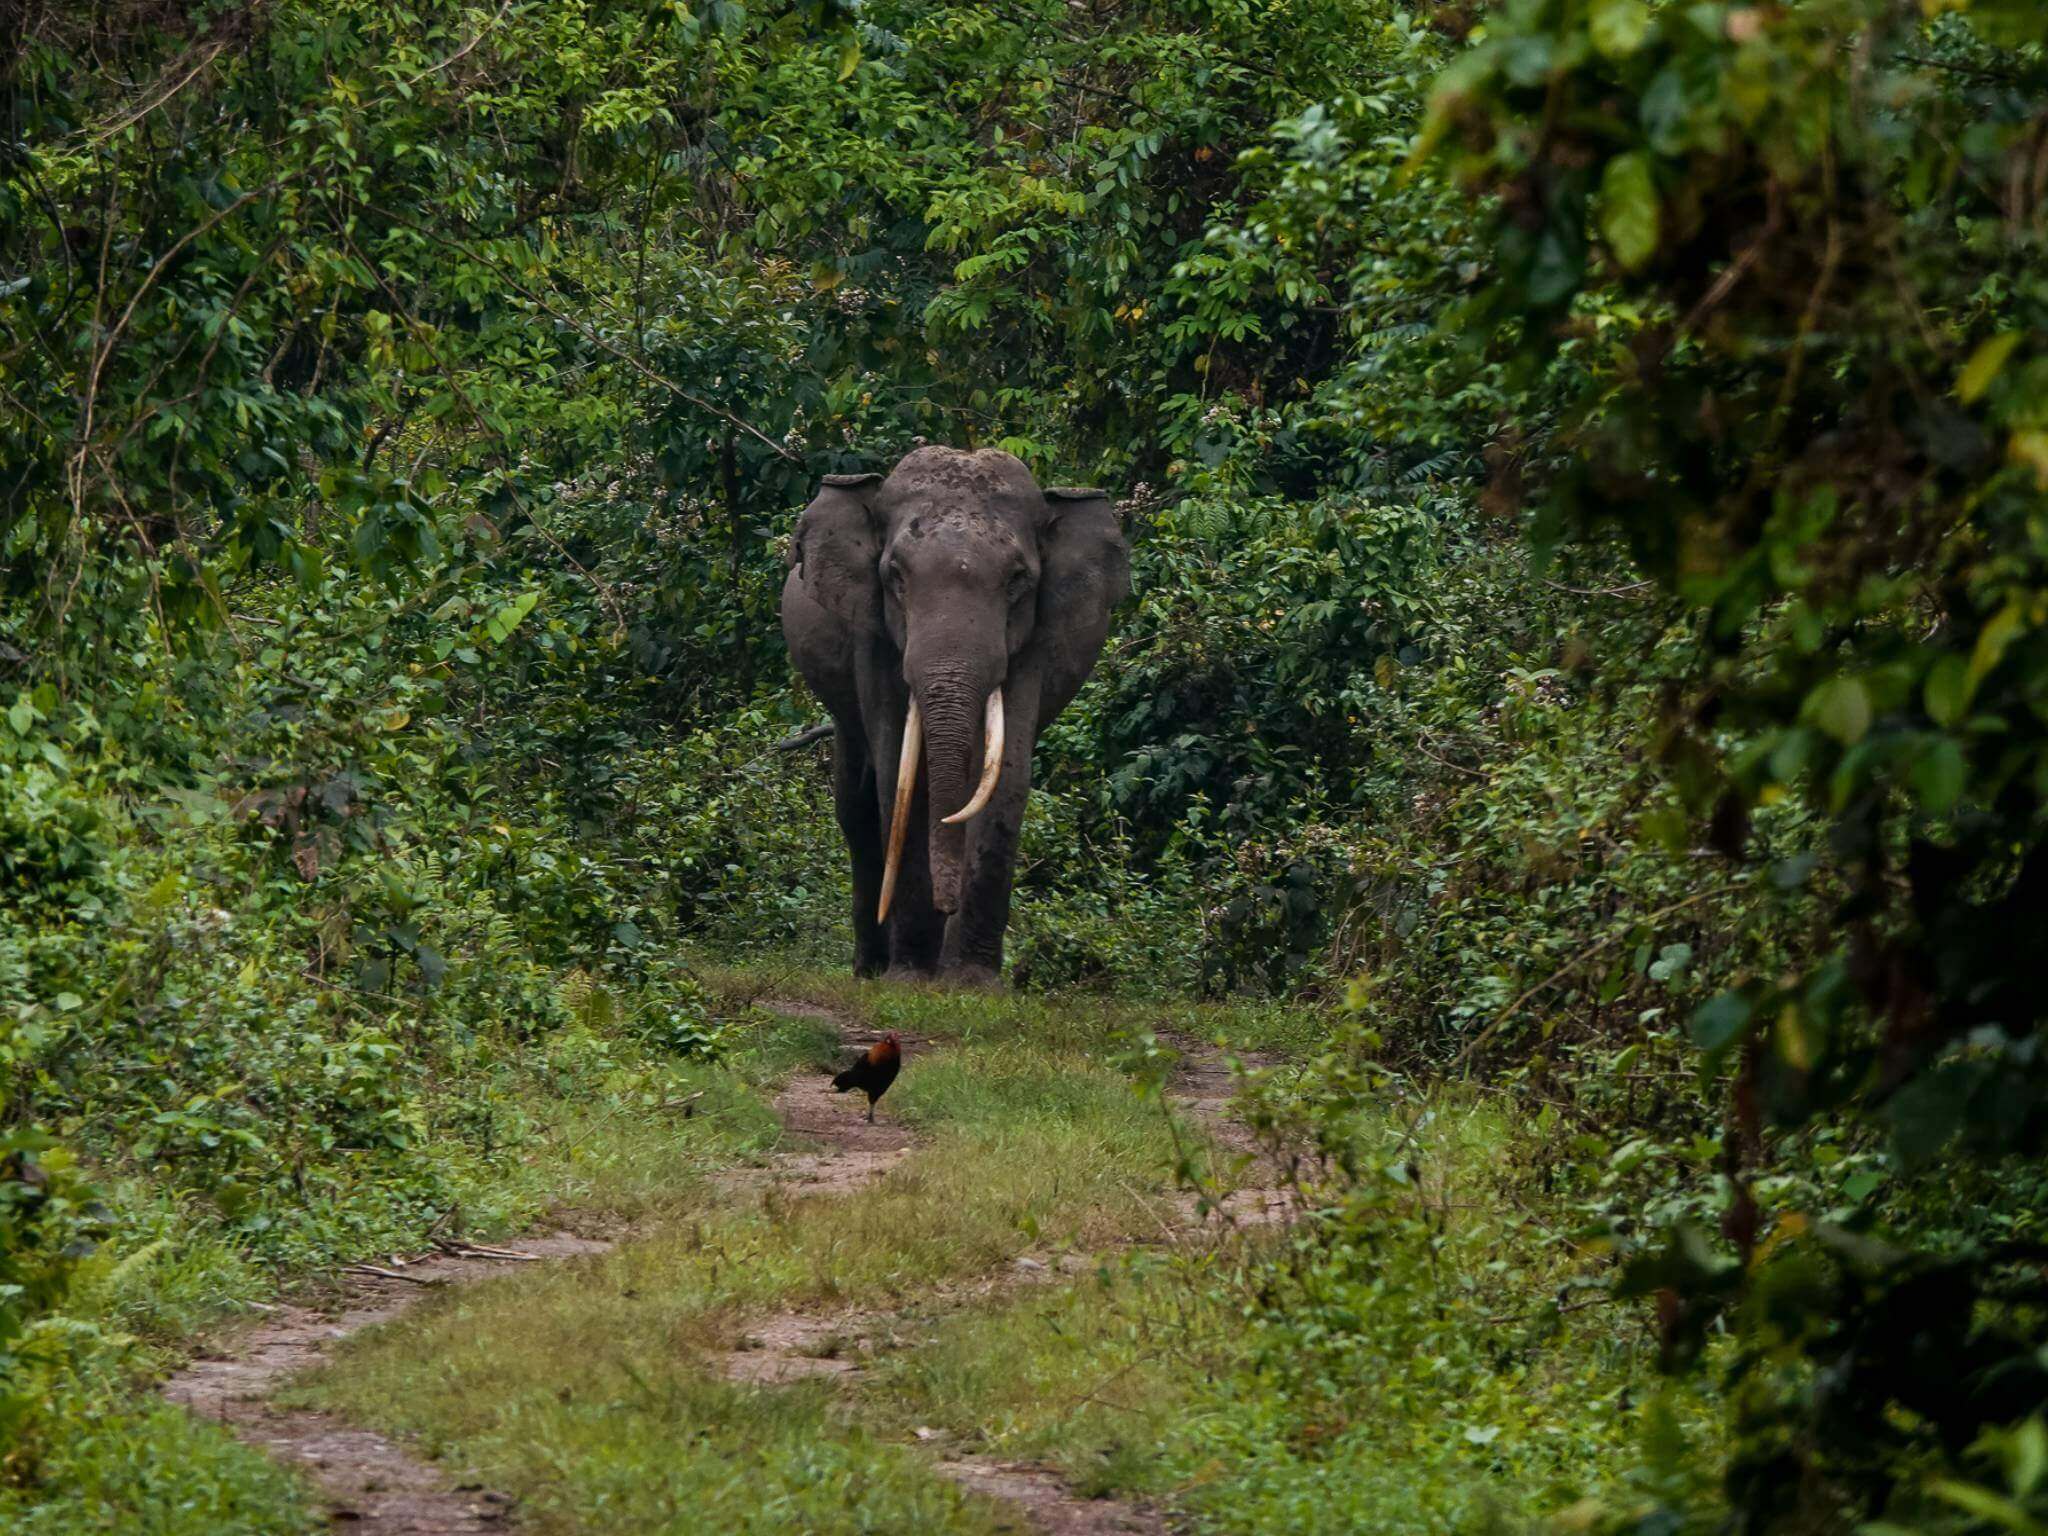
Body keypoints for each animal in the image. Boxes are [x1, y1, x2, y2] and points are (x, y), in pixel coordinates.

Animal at [782, 444, 1138, 987]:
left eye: (1018, 581)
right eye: (894, 576)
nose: (944, 905)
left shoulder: (1034, 639)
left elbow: (1006, 779)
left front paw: (971, 982)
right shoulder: (874, 637)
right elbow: (899, 774)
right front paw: (909, 979)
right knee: (856, 805)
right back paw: (869, 970)